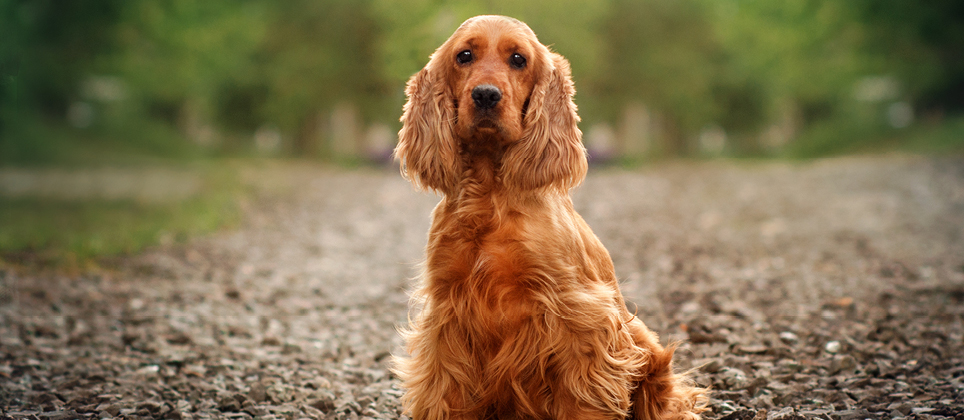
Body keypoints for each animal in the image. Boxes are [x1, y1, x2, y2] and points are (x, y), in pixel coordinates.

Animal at [392, 14, 708, 418]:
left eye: (518, 59)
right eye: (464, 55)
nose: (485, 95)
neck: (490, 197)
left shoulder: (578, 314)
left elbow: (583, 398)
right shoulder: (447, 314)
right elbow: (444, 393)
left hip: (644, 344)